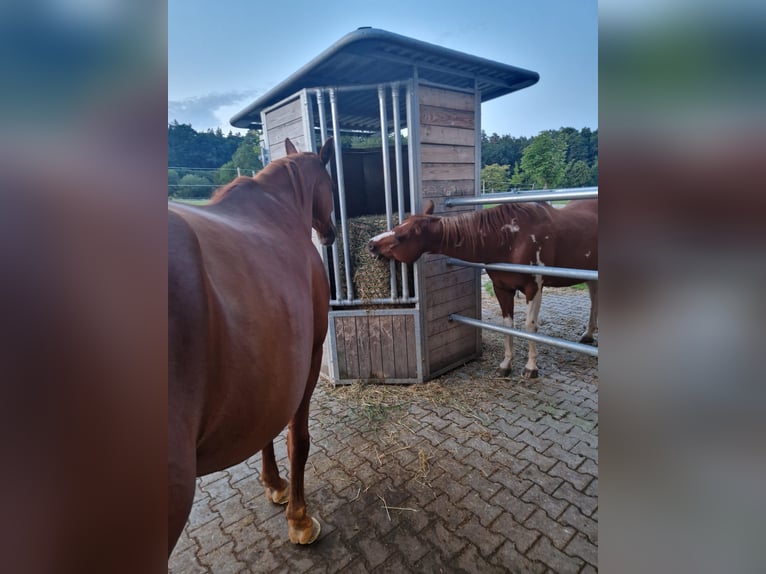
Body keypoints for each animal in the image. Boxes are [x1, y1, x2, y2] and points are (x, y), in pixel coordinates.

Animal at [168, 138, 336, 555]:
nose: (330, 233)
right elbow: (298, 440)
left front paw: (274, 485)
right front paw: (299, 519)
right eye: (330, 184)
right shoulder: (309, 361)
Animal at [368, 199, 597, 378]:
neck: (512, 238)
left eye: (402, 236)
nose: (371, 244)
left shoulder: (534, 288)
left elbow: (530, 327)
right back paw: (588, 335)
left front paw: (531, 367)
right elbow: (507, 325)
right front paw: (506, 365)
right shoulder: (502, 289)